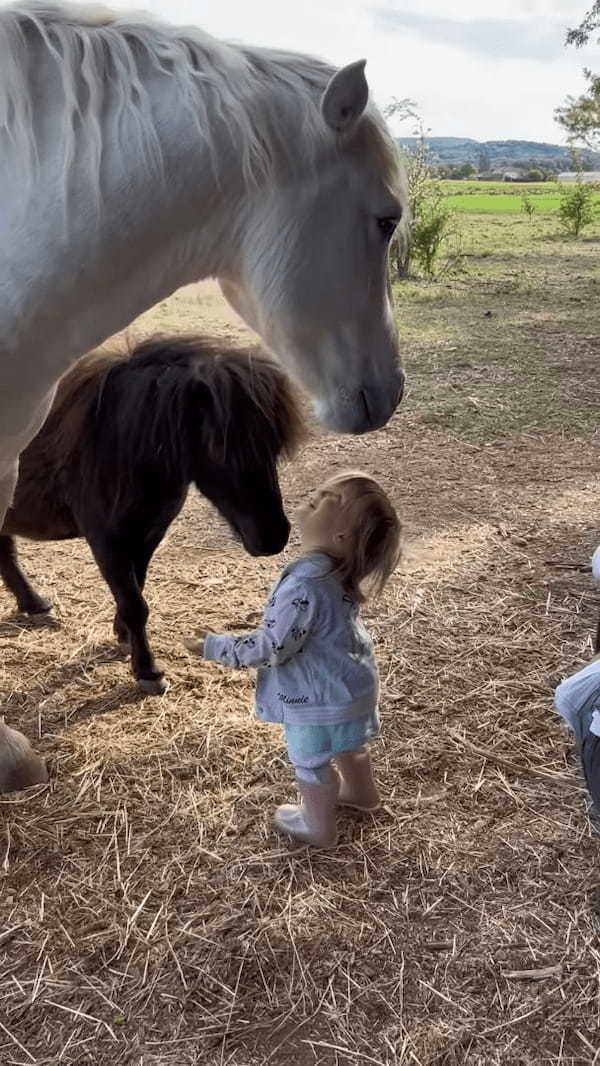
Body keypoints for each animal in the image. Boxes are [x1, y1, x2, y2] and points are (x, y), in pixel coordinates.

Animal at [1, 336, 304, 695]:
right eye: (218, 447)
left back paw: (34, 604)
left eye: (274, 444)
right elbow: (135, 604)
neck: (117, 446)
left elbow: (137, 589)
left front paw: (123, 635)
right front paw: (147, 671)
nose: (273, 536)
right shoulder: (106, 541)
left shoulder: (147, 535)